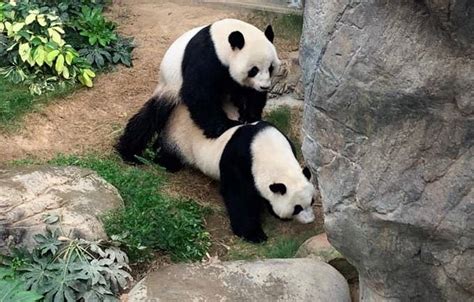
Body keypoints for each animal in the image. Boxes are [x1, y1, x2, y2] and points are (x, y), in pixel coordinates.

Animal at [152, 92, 314, 243]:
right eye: (297, 208)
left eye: (311, 201)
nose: (310, 220)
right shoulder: (239, 161)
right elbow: (239, 196)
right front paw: (254, 234)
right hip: (178, 138)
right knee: (168, 151)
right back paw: (166, 162)